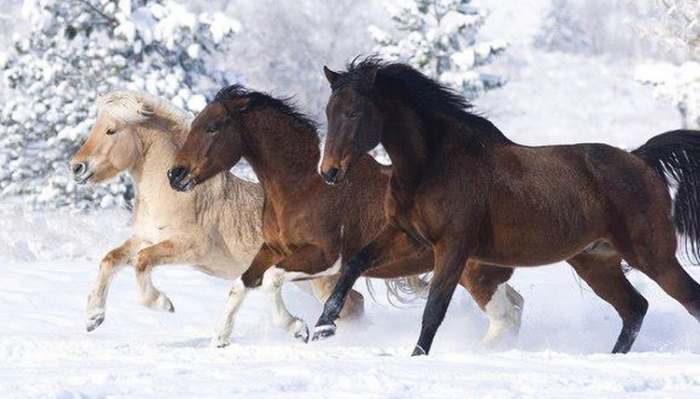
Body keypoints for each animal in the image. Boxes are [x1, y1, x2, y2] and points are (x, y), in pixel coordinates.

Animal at [70, 91, 364, 340]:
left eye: (111, 130)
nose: (76, 167)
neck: (173, 194)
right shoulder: (145, 237)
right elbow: (110, 259)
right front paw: (94, 318)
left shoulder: (189, 248)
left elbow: (141, 262)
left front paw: (164, 304)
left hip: (320, 278)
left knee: (352, 305)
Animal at [165, 86, 524, 348]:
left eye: (212, 128)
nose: (175, 174)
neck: (303, 186)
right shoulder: (272, 249)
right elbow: (241, 284)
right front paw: (220, 339)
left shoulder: (325, 258)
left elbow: (271, 281)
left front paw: (298, 328)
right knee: (515, 307)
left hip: (474, 273)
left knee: (505, 316)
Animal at [314, 57, 700, 356]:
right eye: (329, 111)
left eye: (353, 112)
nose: (329, 172)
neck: (433, 164)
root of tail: (641, 159)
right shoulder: (406, 236)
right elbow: (353, 265)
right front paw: (321, 329)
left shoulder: (453, 246)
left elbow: (434, 308)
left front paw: (416, 357)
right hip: (597, 262)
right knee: (634, 309)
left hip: (653, 256)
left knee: (686, 300)